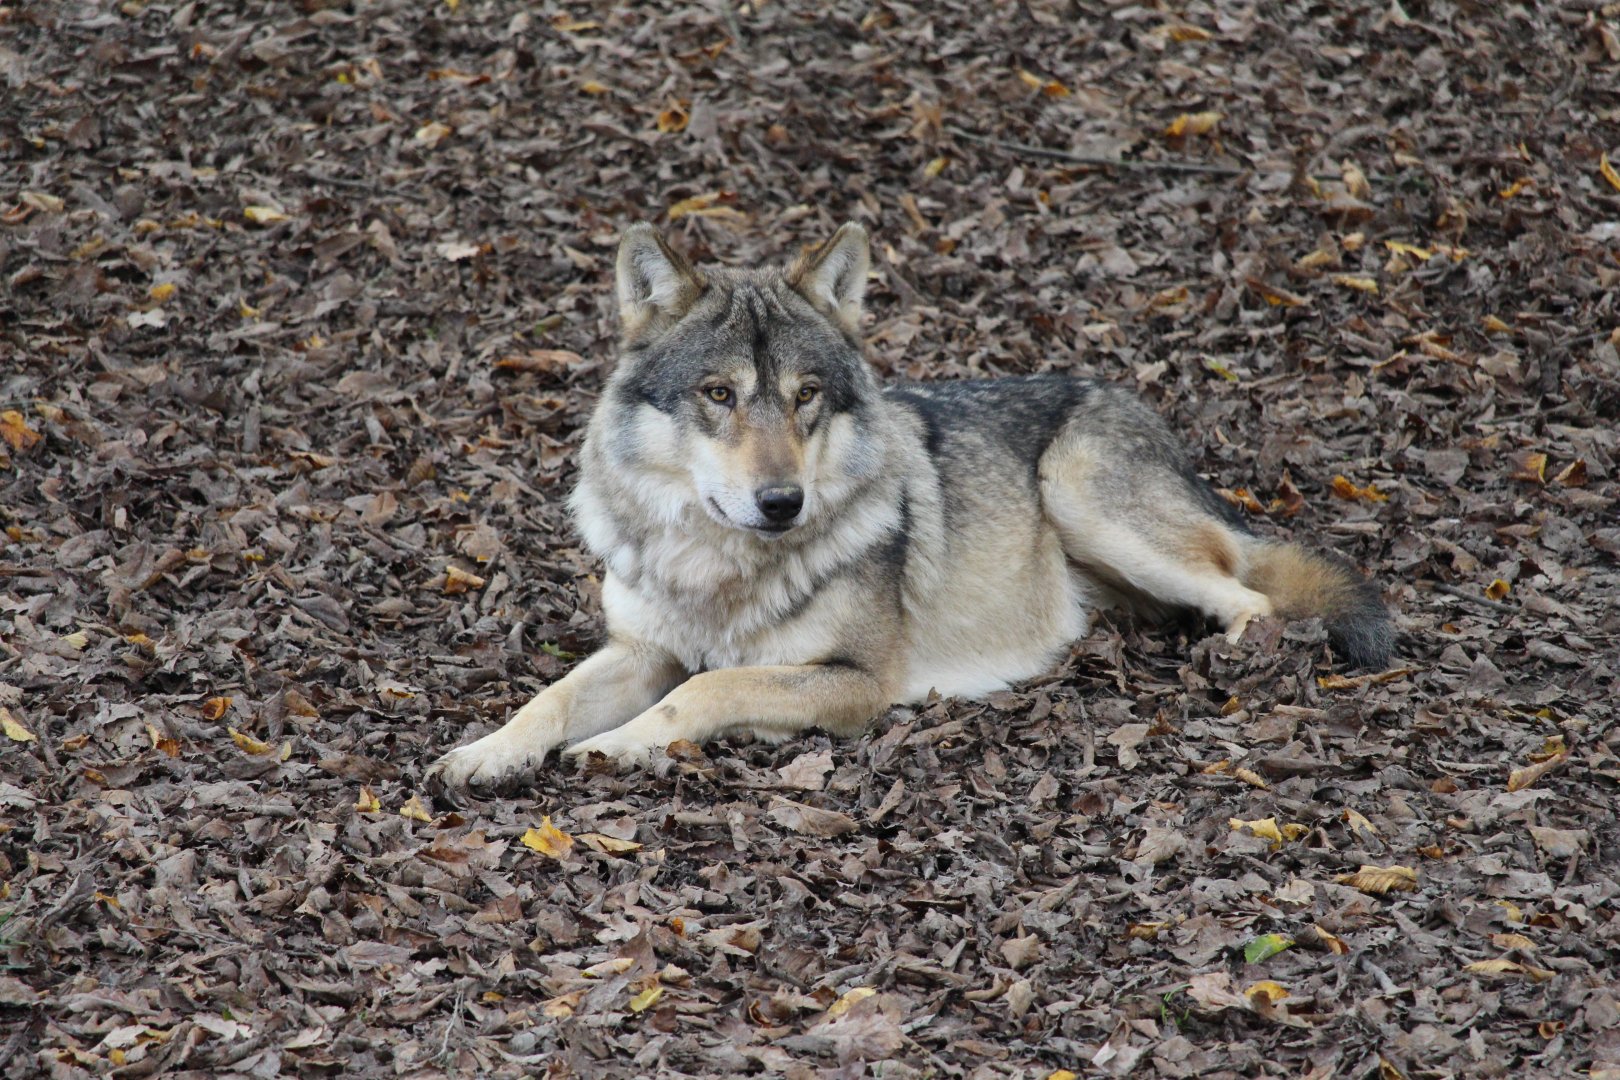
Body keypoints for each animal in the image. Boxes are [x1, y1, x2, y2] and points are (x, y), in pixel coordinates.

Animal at [428, 222, 1392, 786]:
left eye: (806, 396)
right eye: (719, 395)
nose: (781, 502)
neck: (718, 571)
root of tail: (1133, 404)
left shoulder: (857, 684)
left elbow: (710, 686)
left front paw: (618, 743)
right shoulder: (639, 650)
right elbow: (548, 700)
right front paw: (487, 752)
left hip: (1080, 495)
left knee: (1255, 598)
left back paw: (1226, 653)